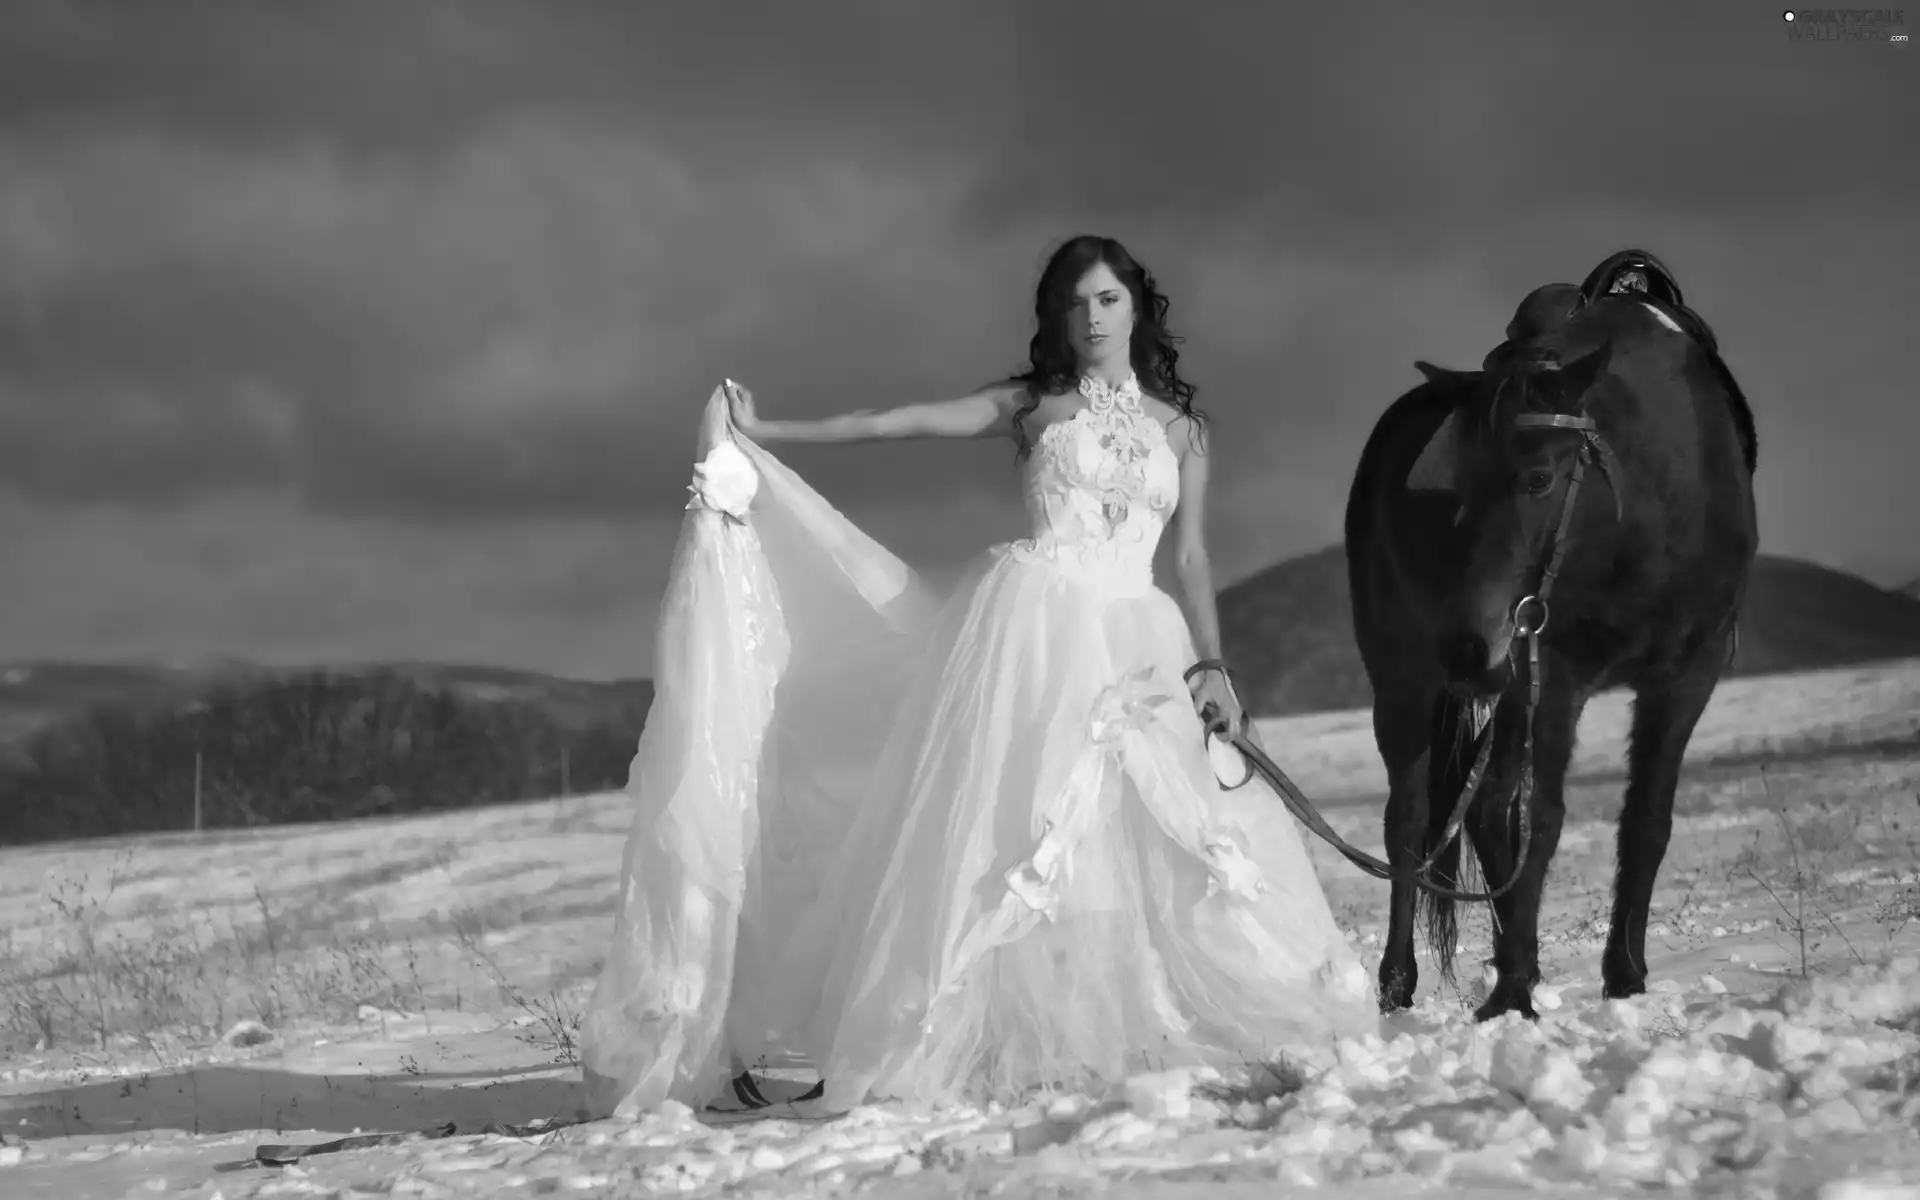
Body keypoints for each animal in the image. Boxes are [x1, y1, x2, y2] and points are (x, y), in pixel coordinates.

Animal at [1344, 247, 1758, 1013]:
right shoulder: (1558, 673)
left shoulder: (1686, 675)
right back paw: (1400, 984)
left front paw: (1624, 976)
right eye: (1455, 483)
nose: (1467, 646)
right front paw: (1510, 994)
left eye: (1539, 478)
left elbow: (1646, 819)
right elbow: (1543, 820)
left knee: (1485, 811)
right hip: (1409, 683)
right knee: (1410, 823)